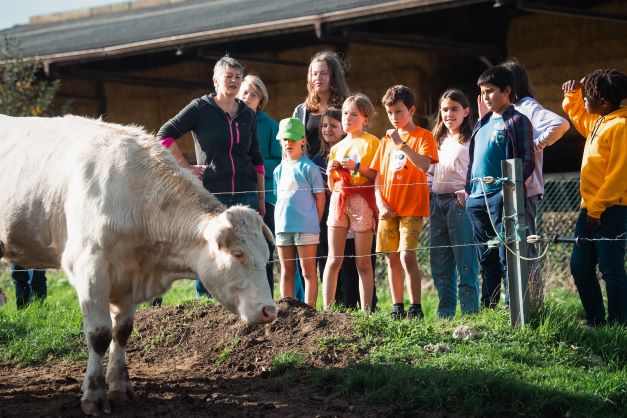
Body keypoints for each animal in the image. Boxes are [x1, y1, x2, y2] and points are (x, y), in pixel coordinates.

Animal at [0, 113, 278, 414]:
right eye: (238, 254)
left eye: (266, 255)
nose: (269, 310)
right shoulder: (90, 270)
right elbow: (99, 335)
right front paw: (94, 395)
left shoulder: (129, 275)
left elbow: (122, 333)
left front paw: (120, 388)